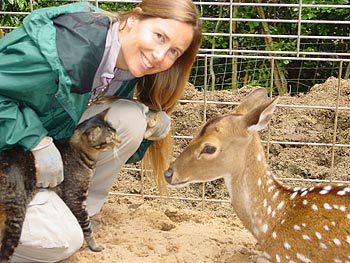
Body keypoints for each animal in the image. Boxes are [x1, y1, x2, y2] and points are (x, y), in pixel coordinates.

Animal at [0, 110, 120, 262]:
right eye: (111, 139)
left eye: (116, 132)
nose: (120, 140)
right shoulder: (76, 199)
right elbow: (86, 226)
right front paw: (94, 246)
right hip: (15, 217)